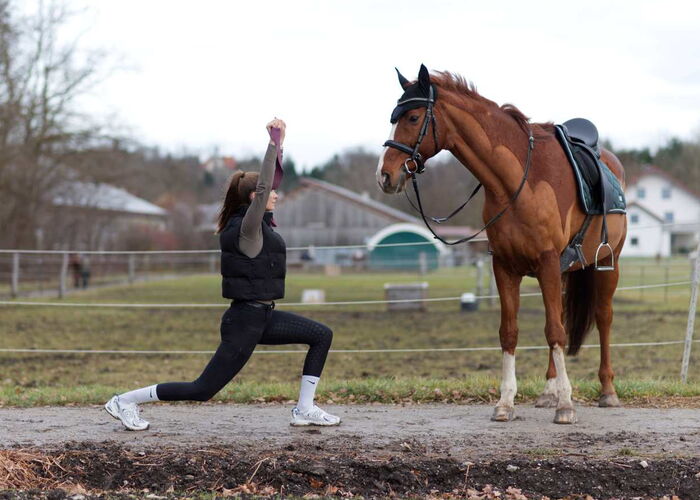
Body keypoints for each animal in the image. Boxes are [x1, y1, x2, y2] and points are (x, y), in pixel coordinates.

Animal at [376, 65, 627, 424]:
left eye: (412, 117)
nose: (385, 175)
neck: (517, 182)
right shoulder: (506, 266)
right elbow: (511, 331)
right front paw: (507, 402)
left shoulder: (547, 262)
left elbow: (555, 332)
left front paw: (566, 405)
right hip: (565, 270)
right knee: (562, 315)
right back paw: (548, 392)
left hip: (608, 262)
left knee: (603, 318)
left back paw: (607, 390)